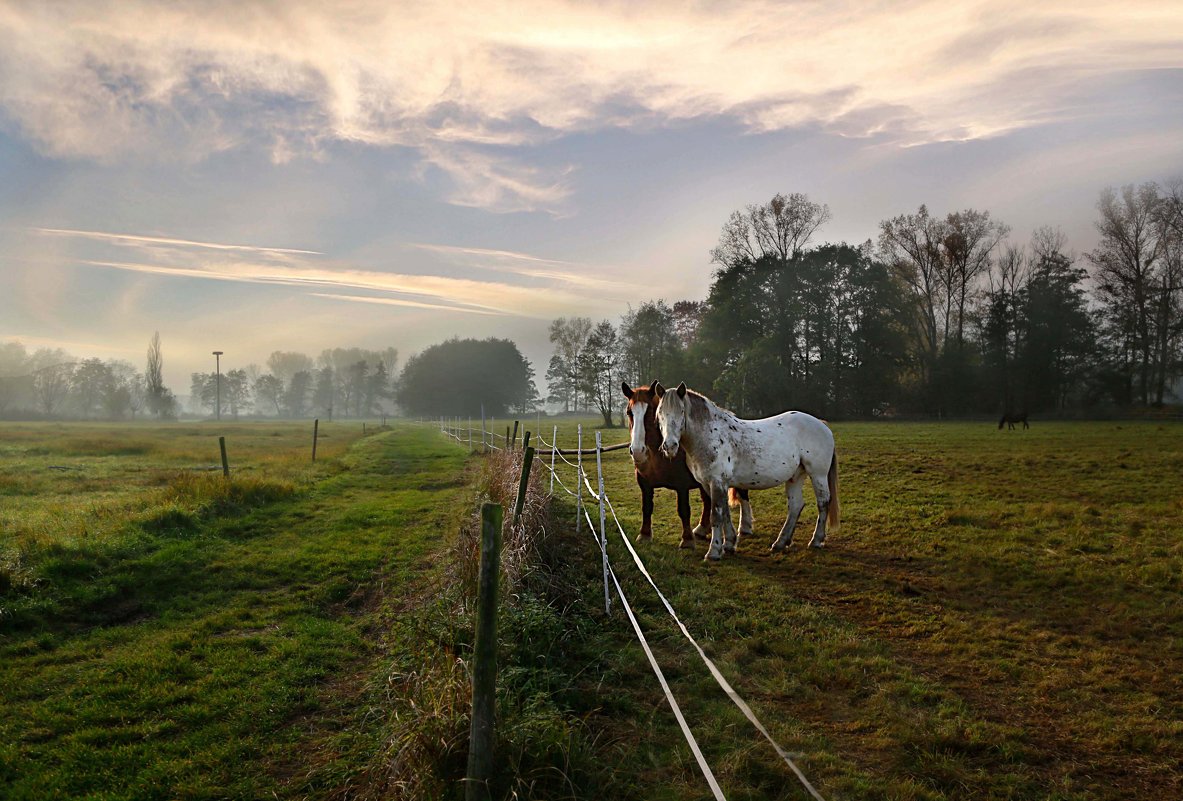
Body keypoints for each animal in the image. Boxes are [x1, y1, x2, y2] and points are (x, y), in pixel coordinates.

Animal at [624, 378, 752, 544]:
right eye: (629, 412)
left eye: (651, 411)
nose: (638, 451)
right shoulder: (644, 483)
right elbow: (646, 507)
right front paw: (644, 534)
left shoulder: (682, 485)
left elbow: (683, 510)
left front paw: (687, 540)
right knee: (708, 501)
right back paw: (702, 529)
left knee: (743, 494)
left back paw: (745, 527)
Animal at [653, 383, 837, 563]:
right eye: (660, 413)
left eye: (681, 411)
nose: (669, 446)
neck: (710, 435)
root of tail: (822, 425)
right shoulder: (710, 484)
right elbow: (725, 513)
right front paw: (729, 544)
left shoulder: (717, 482)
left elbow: (716, 515)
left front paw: (714, 551)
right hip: (795, 476)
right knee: (795, 506)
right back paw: (780, 542)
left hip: (818, 475)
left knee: (823, 502)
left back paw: (816, 540)